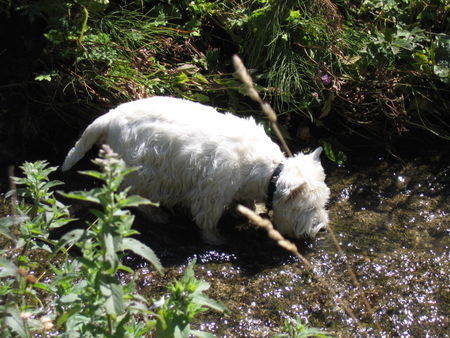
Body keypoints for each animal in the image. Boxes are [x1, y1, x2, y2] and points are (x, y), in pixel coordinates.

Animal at [62, 96, 330, 244]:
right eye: (308, 208)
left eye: (323, 203)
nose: (322, 228)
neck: (267, 172)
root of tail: (109, 117)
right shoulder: (210, 193)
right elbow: (207, 221)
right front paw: (217, 240)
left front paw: (252, 211)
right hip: (140, 172)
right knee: (133, 196)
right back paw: (158, 215)